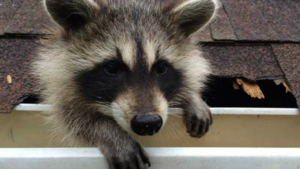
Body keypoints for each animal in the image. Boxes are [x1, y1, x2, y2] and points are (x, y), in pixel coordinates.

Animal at [34, 0, 218, 168]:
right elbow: (72, 115)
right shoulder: (59, 80)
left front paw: (192, 97)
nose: (148, 122)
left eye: (161, 68)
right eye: (112, 68)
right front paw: (110, 133)